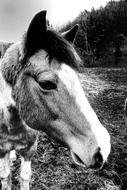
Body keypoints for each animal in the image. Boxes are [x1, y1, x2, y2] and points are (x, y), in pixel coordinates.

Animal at [0, 10, 110, 190]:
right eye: (46, 83)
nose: (103, 149)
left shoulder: (30, 149)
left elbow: (24, 176)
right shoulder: (2, 150)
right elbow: (5, 177)